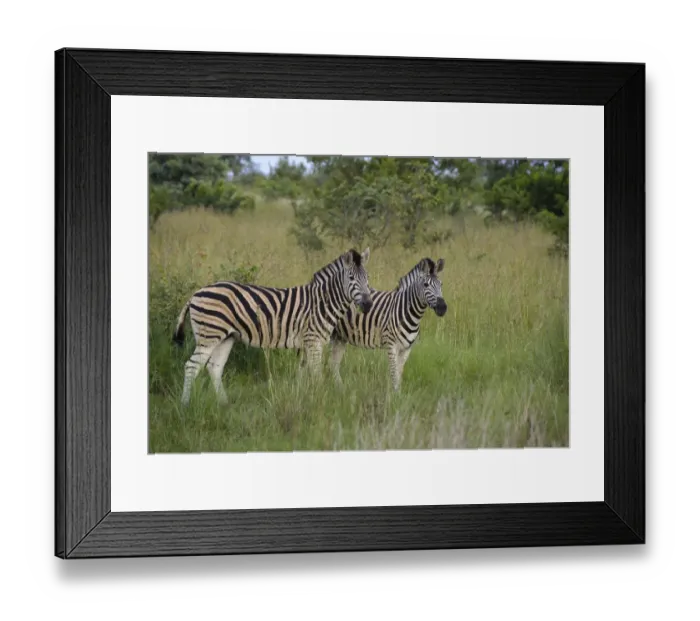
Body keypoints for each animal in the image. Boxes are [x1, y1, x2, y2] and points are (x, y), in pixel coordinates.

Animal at [172, 248, 373, 406]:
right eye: (351, 277)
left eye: (367, 278)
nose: (368, 304)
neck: (323, 302)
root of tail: (196, 293)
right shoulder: (313, 340)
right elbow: (316, 374)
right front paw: (319, 400)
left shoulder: (306, 343)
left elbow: (302, 372)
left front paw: (303, 397)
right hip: (208, 335)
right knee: (191, 366)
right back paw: (185, 404)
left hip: (226, 337)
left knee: (215, 367)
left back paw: (224, 403)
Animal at [329, 257, 446, 391]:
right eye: (426, 285)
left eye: (441, 284)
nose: (443, 307)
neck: (407, 312)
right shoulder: (391, 346)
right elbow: (394, 373)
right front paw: (395, 394)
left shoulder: (406, 349)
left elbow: (399, 373)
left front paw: (397, 394)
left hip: (340, 337)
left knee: (333, 364)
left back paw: (340, 389)